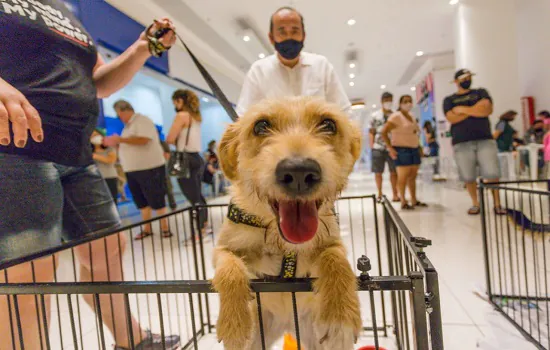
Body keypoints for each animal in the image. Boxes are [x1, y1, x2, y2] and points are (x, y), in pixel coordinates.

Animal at [213, 97, 364, 350]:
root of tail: (286, 325)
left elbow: (336, 260)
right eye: (260, 125)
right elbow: (229, 268)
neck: (281, 241)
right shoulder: (224, 248)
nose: (299, 172)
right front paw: (235, 323)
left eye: (329, 124)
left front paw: (340, 315)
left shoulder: (333, 242)